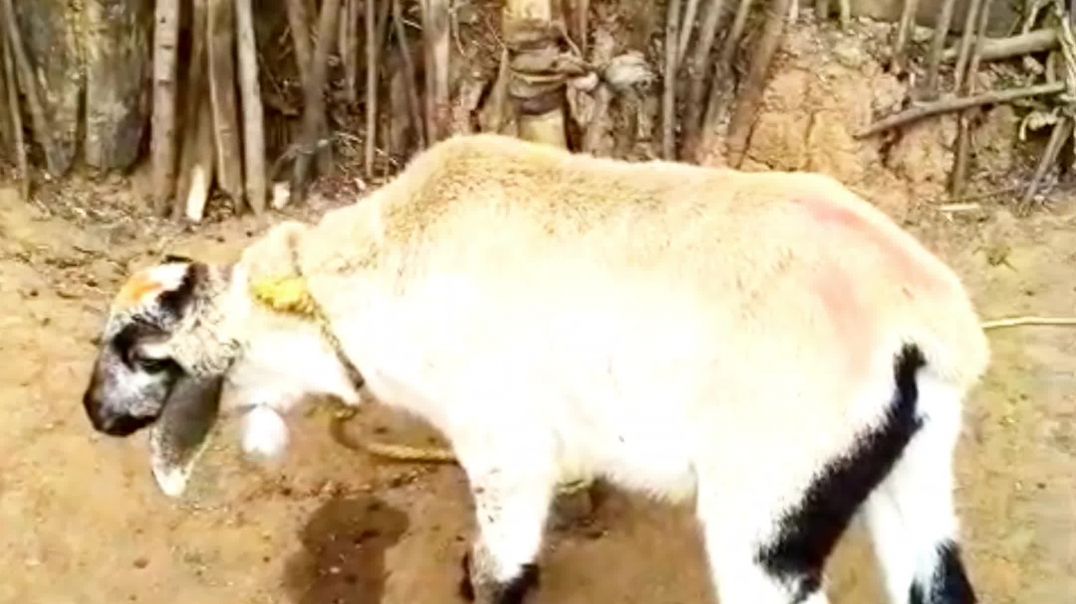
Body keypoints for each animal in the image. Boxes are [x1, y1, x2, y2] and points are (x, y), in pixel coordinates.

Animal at [81, 133, 989, 604]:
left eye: (139, 352)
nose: (94, 411)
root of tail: (928, 322)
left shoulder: (501, 441)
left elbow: (502, 567)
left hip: (769, 500)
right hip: (910, 471)